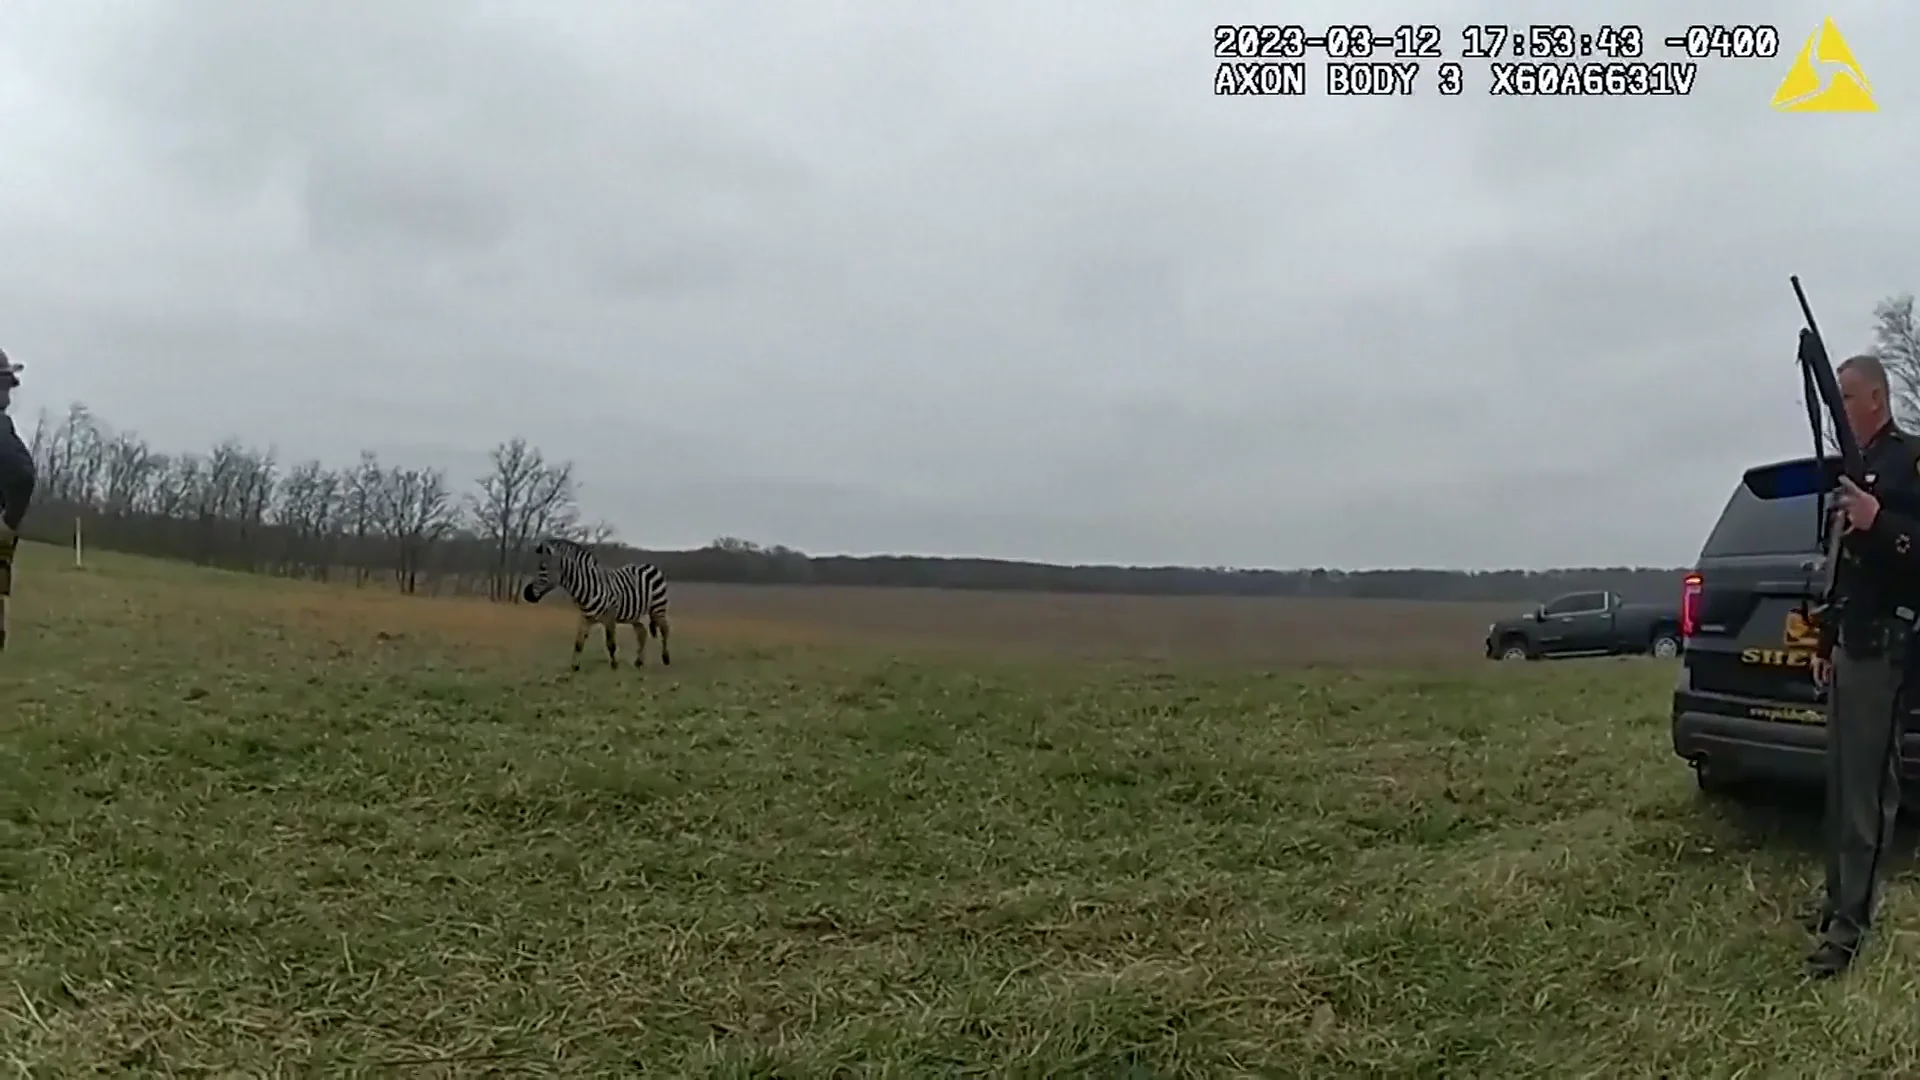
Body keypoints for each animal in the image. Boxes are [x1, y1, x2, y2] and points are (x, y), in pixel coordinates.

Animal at [520, 536, 673, 670]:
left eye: (543, 568)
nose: (526, 594)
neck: (589, 587)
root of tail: (649, 566)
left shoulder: (609, 618)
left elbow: (611, 644)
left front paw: (614, 666)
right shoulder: (585, 618)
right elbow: (578, 643)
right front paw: (575, 667)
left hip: (658, 608)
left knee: (664, 629)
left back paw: (666, 659)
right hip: (634, 615)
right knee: (642, 633)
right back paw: (639, 662)